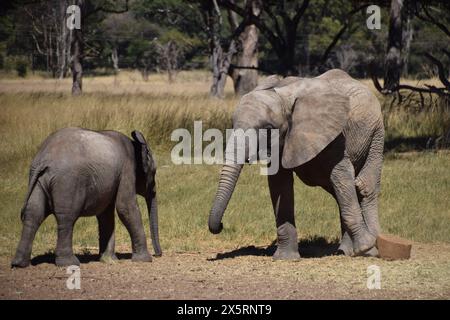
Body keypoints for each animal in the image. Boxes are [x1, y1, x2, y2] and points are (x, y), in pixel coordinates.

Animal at [11, 127, 163, 268]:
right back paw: (69, 263)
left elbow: (106, 215)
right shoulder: (127, 169)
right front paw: (145, 260)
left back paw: (19, 264)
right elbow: (125, 208)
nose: (158, 254)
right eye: (154, 172)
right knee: (66, 218)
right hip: (67, 182)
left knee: (33, 214)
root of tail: (43, 159)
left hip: (38, 182)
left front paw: (109, 260)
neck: (135, 144)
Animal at [209, 69, 384, 258]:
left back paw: (369, 250)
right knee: (339, 192)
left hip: (376, 135)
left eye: (268, 130)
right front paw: (285, 258)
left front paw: (365, 247)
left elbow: (342, 177)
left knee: (361, 186)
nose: (221, 226)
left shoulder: (334, 135)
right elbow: (280, 185)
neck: (282, 96)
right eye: (232, 124)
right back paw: (345, 251)